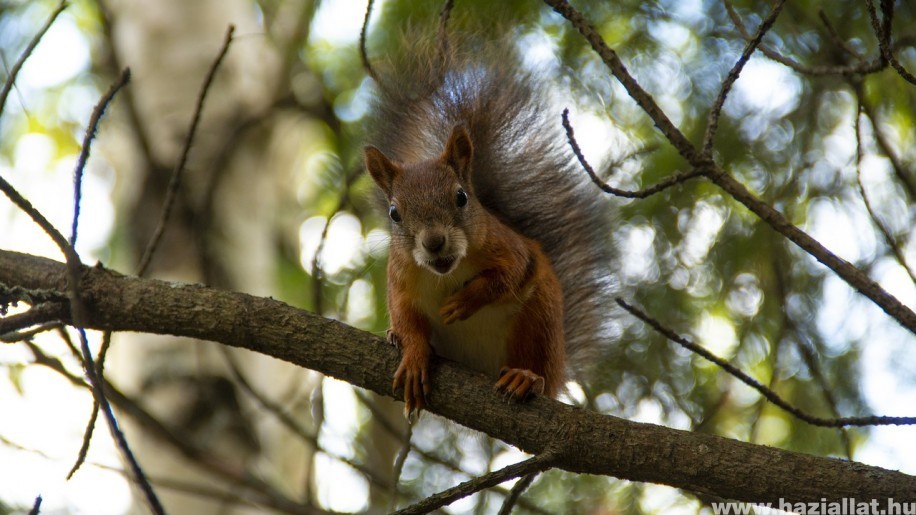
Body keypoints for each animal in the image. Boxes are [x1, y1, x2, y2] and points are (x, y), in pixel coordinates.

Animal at [362, 43, 612, 420]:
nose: (434, 242)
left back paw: (526, 377)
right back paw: (394, 338)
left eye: (461, 197)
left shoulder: (507, 247)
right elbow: (406, 318)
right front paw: (414, 355)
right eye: (395, 214)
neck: (446, 273)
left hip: (539, 319)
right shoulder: (400, 279)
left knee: (537, 367)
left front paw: (465, 301)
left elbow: (507, 277)